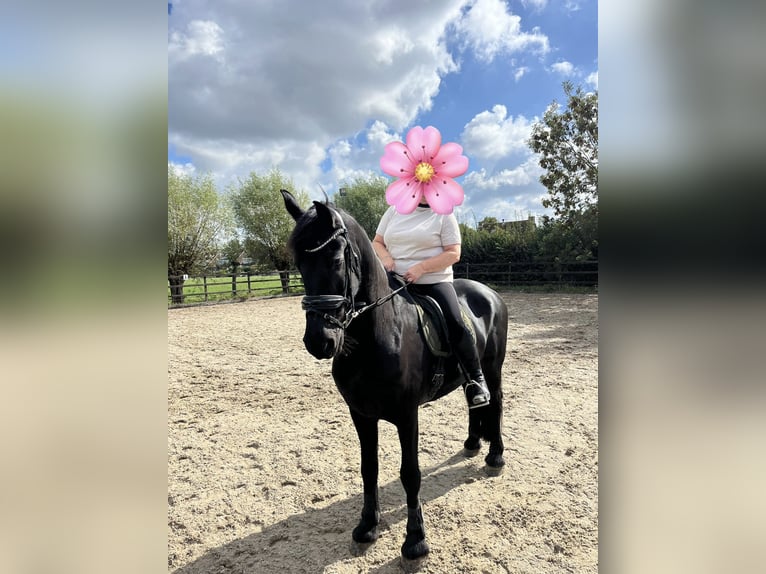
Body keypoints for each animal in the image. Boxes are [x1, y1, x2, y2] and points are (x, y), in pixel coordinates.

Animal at [281, 190, 508, 562]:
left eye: (336, 261)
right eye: (299, 264)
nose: (319, 341)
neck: (374, 338)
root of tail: (488, 292)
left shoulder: (406, 415)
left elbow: (409, 473)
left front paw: (415, 540)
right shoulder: (360, 413)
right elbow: (368, 468)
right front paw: (367, 526)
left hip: (492, 367)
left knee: (496, 403)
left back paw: (495, 456)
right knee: (474, 402)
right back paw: (473, 443)